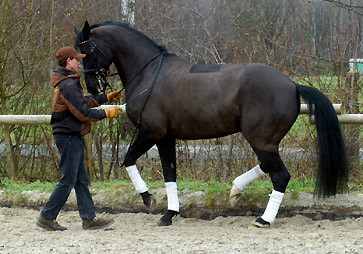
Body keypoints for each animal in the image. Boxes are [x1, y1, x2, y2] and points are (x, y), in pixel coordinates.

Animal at [73, 20, 346, 228]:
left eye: (85, 51)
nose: (92, 88)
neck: (149, 74)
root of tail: (292, 85)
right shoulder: (166, 137)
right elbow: (170, 173)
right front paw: (170, 214)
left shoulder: (151, 132)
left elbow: (128, 160)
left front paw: (148, 198)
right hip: (266, 142)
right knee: (267, 168)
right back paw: (236, 191)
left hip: (261, 140)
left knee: (280, 175)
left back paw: (263, 219)